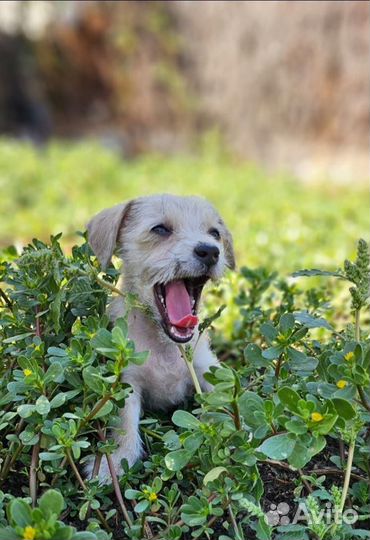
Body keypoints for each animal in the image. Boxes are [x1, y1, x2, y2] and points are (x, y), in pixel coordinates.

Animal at [85, 193, 234, 480]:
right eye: (160, 229)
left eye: (214, 233)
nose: (210, 251)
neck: (164, 344)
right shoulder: (126, 382)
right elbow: (124, 422)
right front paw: (116, 462)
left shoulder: (206, 368)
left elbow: (221, 399)